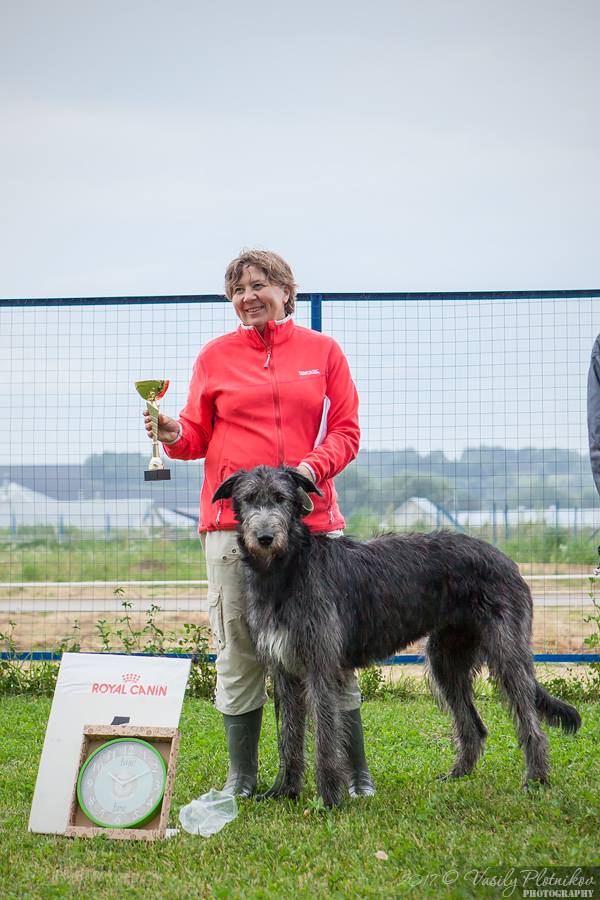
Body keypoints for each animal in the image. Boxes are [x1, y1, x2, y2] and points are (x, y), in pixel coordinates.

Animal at [212, 468, 580, 804]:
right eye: (249, 498)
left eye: (281, 498)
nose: (264, 537)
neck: (284, 569)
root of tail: (507, 559)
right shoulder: (285, 670)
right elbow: (288, 736)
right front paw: (285, 792)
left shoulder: (322, 667)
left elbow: (326, 740)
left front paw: (329, 799)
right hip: (446, 659)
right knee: (473, 725)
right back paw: (458, 774)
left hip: (506, 654)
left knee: (530, 722)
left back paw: (537, 779)